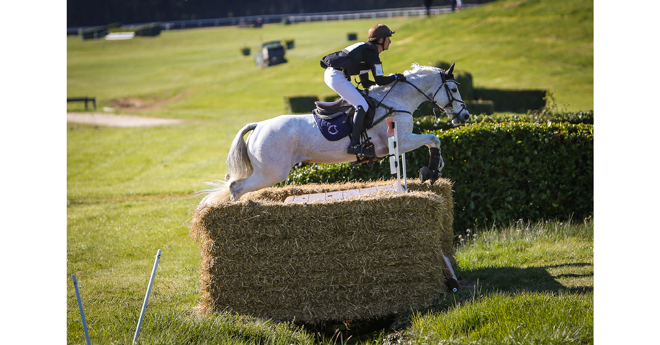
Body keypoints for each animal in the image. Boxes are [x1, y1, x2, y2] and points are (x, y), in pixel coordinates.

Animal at [201, 62, 470, 203]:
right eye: (455, 89)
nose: (465, 116)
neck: (396, 99)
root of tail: (259, 125)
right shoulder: (400, 142)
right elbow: (434, 138)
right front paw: (431, 170)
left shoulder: (400, 144)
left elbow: (433, 141)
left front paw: (434, 169)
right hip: (272, 172)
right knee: (236, 186)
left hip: (266, 172)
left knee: (236, 184)